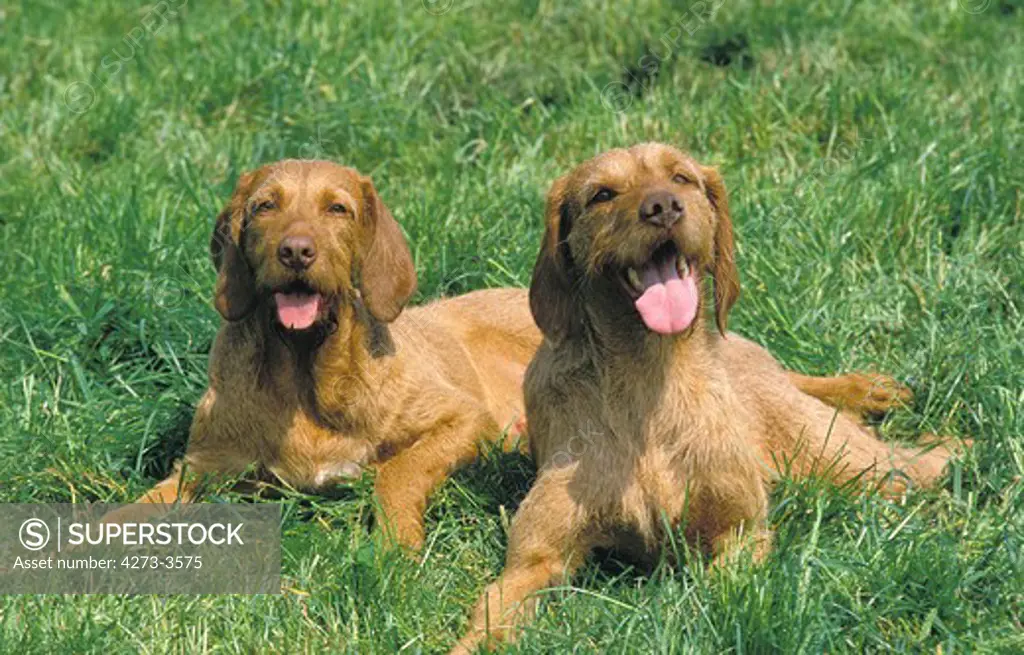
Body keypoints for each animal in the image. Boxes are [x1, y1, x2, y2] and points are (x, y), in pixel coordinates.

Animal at [115, 158, 540, 548]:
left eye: (337, 208)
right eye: (265, 206)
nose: (296, 252)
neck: (305, 372)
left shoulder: (465, 418)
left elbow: (398, 473)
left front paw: (395, 548)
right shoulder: (203, 465)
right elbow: (136, 507)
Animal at [452, 143, 962, 650]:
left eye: (682, 178)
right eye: (602, 194)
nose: (662, 207)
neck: (649, 383)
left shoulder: (741, 532)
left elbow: (718, 591)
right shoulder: (534, 560)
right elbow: (491, 619)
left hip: (850, 463)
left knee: (928, 459)